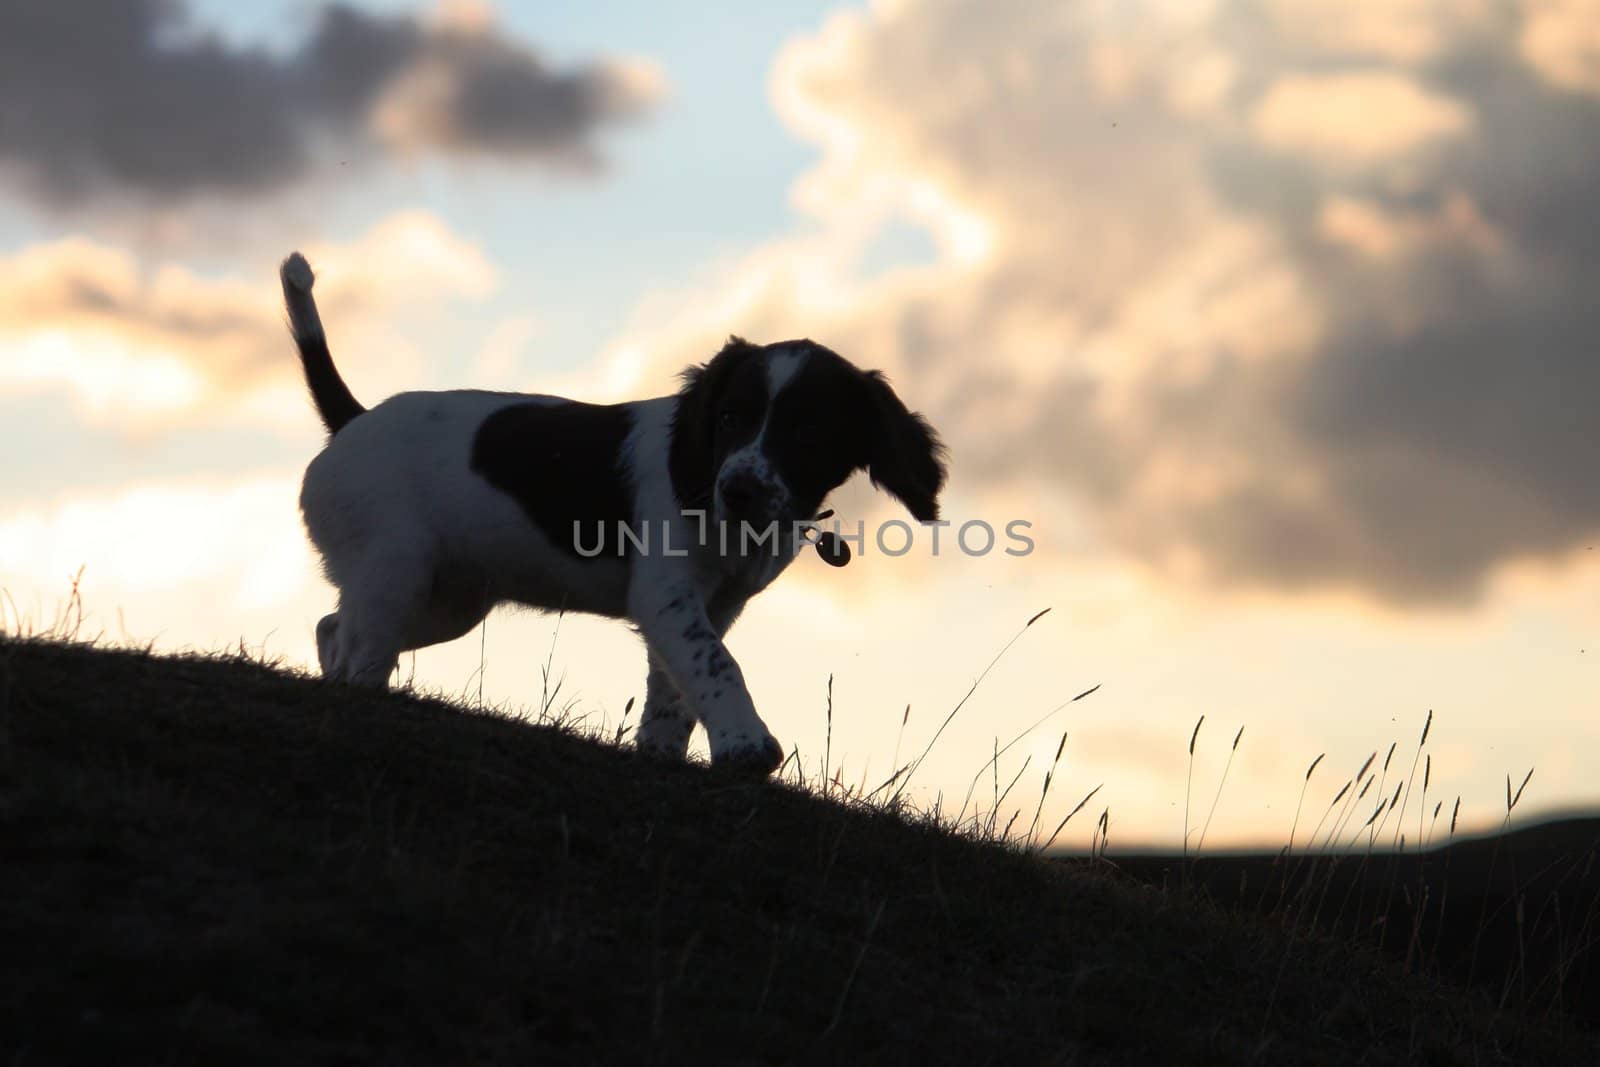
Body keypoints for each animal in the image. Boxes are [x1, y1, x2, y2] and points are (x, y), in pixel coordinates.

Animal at [281, 255, 940, 777]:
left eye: (807, 433)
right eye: (729, 418)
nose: (738, 490)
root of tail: (353, 420)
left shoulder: (716, 603)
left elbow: (678, 685)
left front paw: (662, 753)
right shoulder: (667, 592)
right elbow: (716, 663)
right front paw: (747, 745)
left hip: (449, 600)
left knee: (333, 628)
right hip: (397, 570)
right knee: (361, 651)